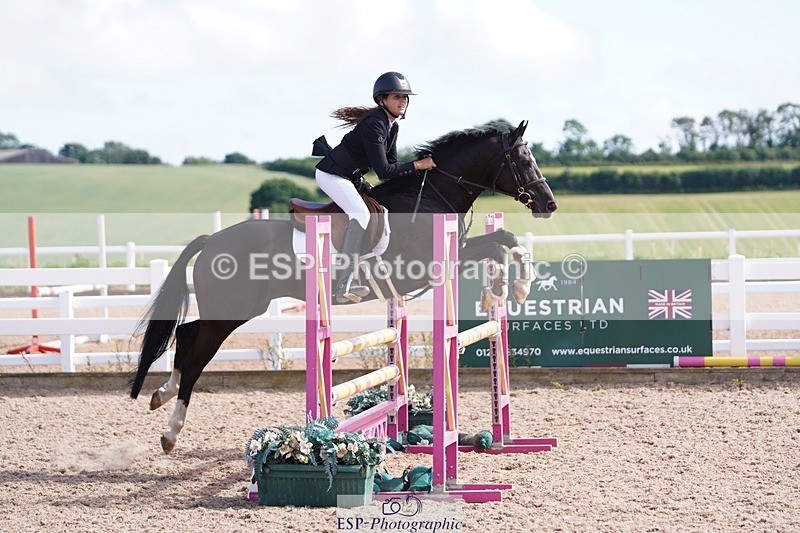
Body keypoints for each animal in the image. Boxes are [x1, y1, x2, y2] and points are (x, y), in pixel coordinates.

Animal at [129, 120, 557, 454]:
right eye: (522, 161)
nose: (548, 204)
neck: (429, 196)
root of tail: (211, 241)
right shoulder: (430, 267)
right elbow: (500, 244)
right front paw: (507, 291)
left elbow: (505, 239)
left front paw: (509, 290)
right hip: (230, 312)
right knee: (196, 356)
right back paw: (171, 432)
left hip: (234, 310)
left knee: (185, 335)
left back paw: (160, 395)